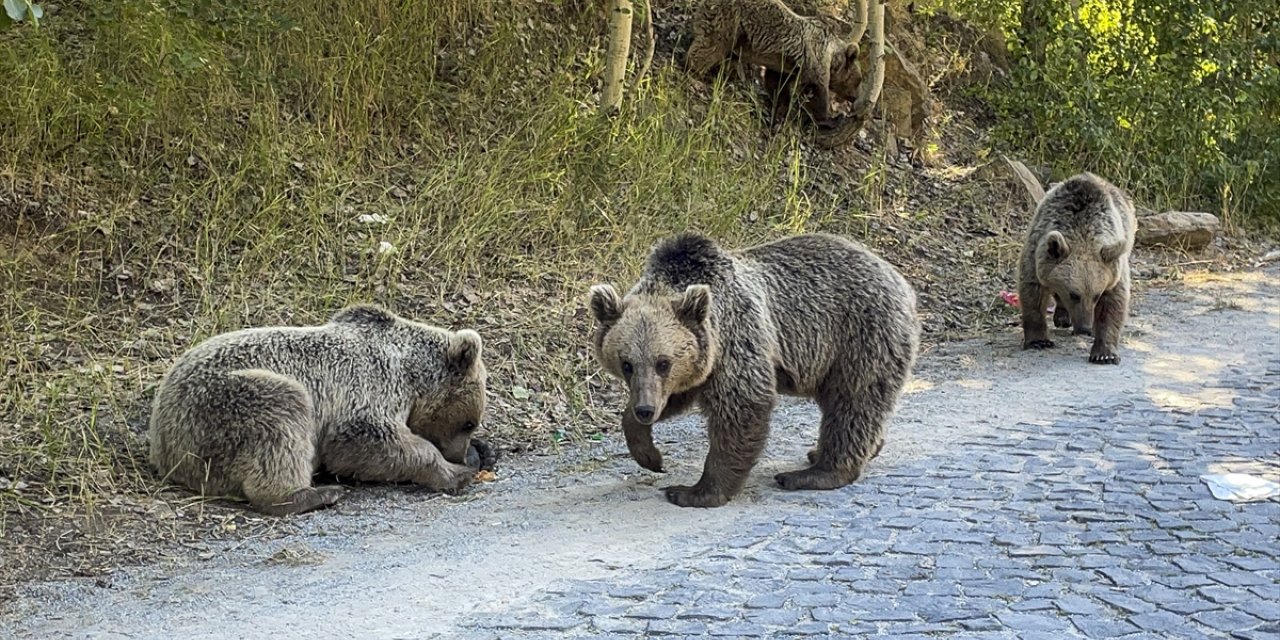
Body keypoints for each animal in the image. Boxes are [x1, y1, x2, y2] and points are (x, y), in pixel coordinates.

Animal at [147, 302, 491, 517]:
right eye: (468, 423)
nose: (460, 454)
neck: (410, 375)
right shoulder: (368, 385)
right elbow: (361, 440)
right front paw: (455, 474)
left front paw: (481, 453)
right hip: (222, 406)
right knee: (280, 420)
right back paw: (314, 494)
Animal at [586, 232, 926, 506]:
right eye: (627, 364)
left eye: (663, 362)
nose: (645, 409)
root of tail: (900, 279)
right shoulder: (701, 363)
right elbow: (677, 397)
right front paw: (649, 454)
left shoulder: (736, 339)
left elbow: (742, 406)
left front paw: (693, 491)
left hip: (860, 335)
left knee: (853, 401)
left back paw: (812, 472)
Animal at [1018, 171, 1141, 366]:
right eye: (1074, 294)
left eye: (1097, 295)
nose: (1084, 328)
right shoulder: (1036, 250)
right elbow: (1033, 294)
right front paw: (1038, 341)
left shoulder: (1113, 267)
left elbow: (1114, 303)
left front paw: (1104, 354)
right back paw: (1062, 317)